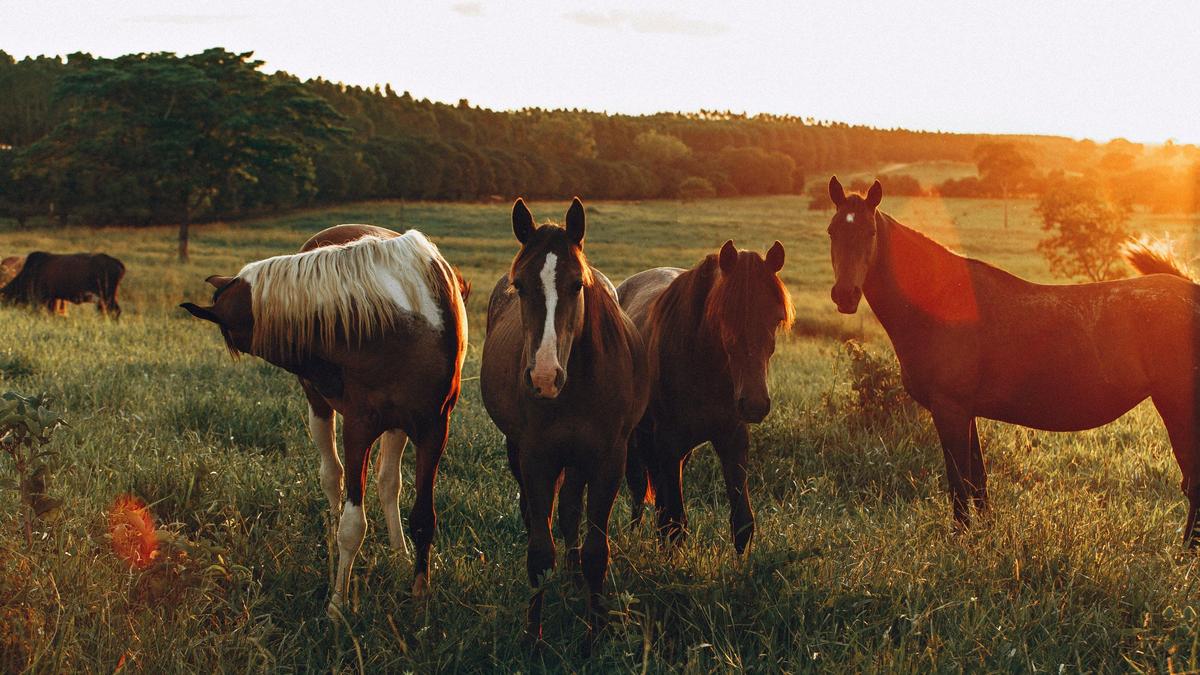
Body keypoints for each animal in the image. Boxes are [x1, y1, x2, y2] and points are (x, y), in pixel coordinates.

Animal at [177, 224, 468, 610]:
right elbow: (352, 524)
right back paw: (333, 546)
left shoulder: (433, 428)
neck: (401, 322)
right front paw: (338, 604)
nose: (319, 373)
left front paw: (419, 594)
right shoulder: (359, 428)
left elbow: (423, 516)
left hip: (398, 427)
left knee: (388, 483)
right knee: (333, 478)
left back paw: (398, 552)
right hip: (321, 410)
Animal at [477, 195, 648, 648]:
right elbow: (539, 550)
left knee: (571, 509)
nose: (543, 377)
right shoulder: (537, 457)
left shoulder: (608, 460)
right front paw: (532, 638)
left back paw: (573, 580)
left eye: (576, 285)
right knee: (539, 514)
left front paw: (595, 632)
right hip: (521, 451)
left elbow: (595, 551)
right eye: (520, 286)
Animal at [619, 241, 796, 552]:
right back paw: (632, 535)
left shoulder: (732, 438)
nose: (754, 404)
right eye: (724, 315)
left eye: (776, 318)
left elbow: (742, 522)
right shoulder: (668, 440)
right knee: (639, 489)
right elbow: (675, 523)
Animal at [830, 172, 1200, 540]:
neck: (942, 302)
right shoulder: (966, 412)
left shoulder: (949, 409)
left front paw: (961, 538)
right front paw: (986, 535)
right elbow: (977, 481)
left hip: (1177, 406)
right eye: (833, 231)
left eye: (870, 232)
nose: (845, 296)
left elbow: (959, 483)